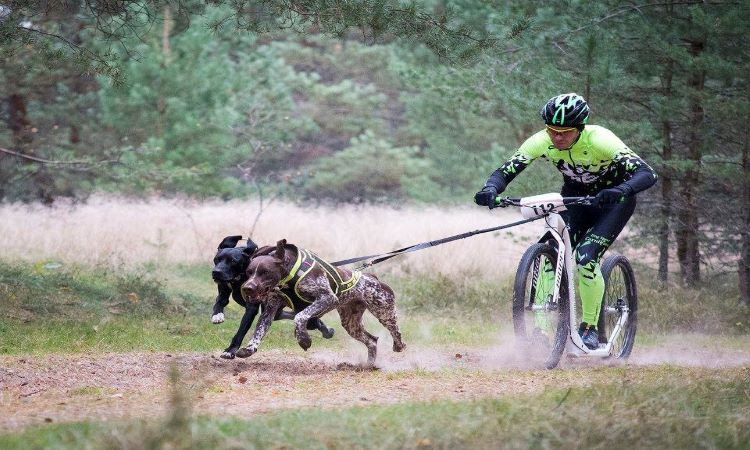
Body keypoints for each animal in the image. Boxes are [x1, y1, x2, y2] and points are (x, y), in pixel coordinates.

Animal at [239, 239, 406, 366]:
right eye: (248, 272)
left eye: (265, 272)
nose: (247, 288)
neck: (289, 278)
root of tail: (373, 278)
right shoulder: (270, 311)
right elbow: (259, 331)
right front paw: (249, 349)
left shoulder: (327, 298)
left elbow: (300, 316)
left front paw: (304, 339)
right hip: (351, 324)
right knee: (372, 341)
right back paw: (368, 365)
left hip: (384, 312)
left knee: (395, 331)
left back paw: (399, 345)